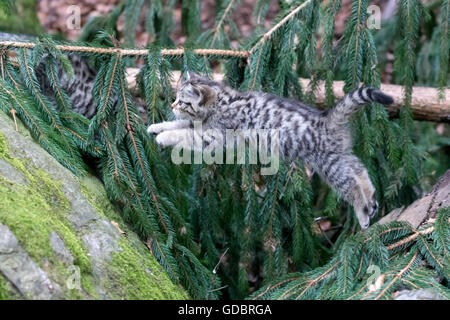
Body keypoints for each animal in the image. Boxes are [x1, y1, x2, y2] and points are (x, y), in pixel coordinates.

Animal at [149, 71, 394, 229]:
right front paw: (157, 127)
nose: (172, 105)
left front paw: (164, 136)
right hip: (340, 155)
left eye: (182, 101)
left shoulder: (215, 137)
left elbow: (184, 134)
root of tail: (327, 120)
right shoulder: (200, 126)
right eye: (176, 99)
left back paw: (362, 212)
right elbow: (181, 125)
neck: (221, 102)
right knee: (361, 171)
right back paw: (371, 201)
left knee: (351, 184)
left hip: (328, 164)